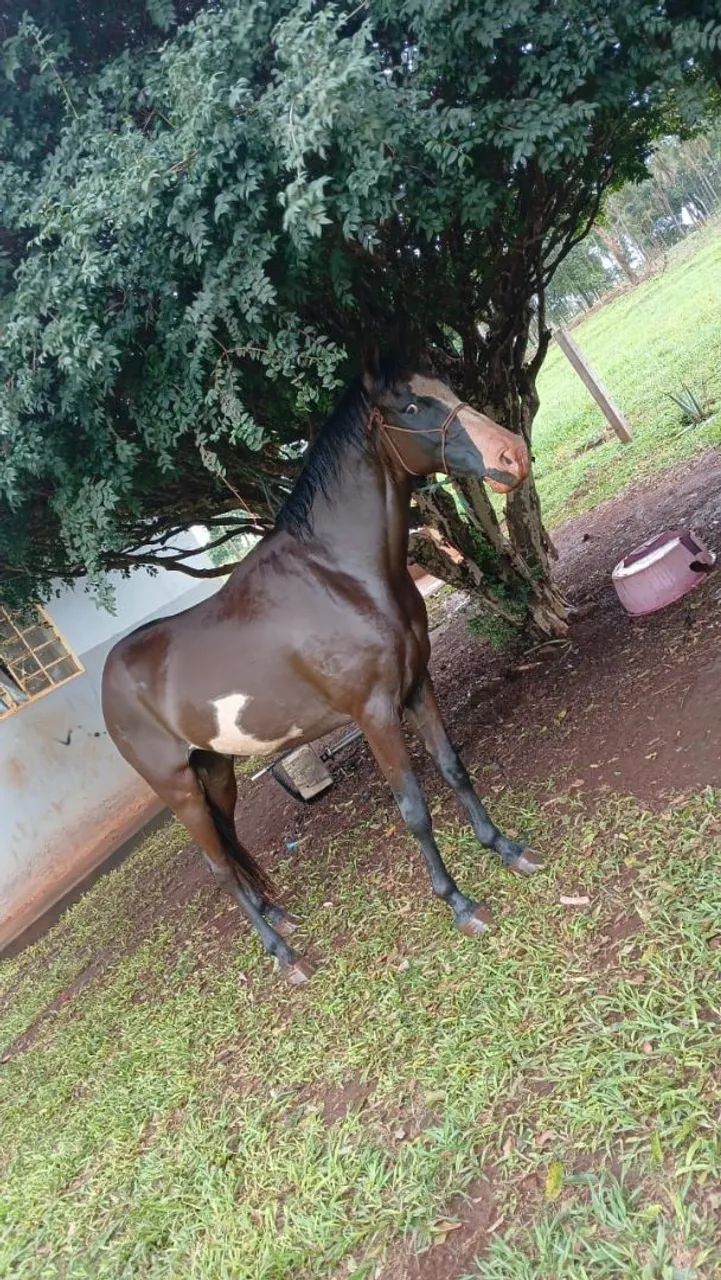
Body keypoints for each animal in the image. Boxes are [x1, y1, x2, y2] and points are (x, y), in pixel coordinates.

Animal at [102, 356, 542, 984]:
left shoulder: (417, 687)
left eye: (448, 388)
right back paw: (285, 956)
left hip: (217, 772)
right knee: (219, 869)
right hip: (179, 788)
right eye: (412, 406)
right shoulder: (375, 714)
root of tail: (109, 678)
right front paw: (459, 903)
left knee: (230, 850)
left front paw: (506, 849)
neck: (342, 577)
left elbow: (455, 769)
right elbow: (414, 809)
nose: (512, 455)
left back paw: (279, 917)